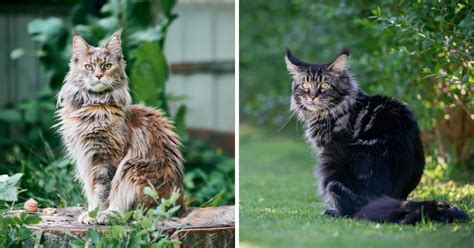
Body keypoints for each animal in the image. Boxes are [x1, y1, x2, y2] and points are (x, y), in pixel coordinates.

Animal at [57, 30, 185, 224]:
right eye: (89, 67)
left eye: (107, 66)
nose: (99, 76)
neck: (94, 107)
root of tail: (179, 208)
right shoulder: (86, 160)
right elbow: (92, 193)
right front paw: (90, 213)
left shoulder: (106, 160)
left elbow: (102, 193)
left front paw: (95, 216)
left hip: (132, 170)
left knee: (133, 213)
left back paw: (109, 215)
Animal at [286, 47, 466, 224]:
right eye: (305, 84)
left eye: (324, 84)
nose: (312, 96)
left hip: (329, 167)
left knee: (353, 212)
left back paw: (333, 212)